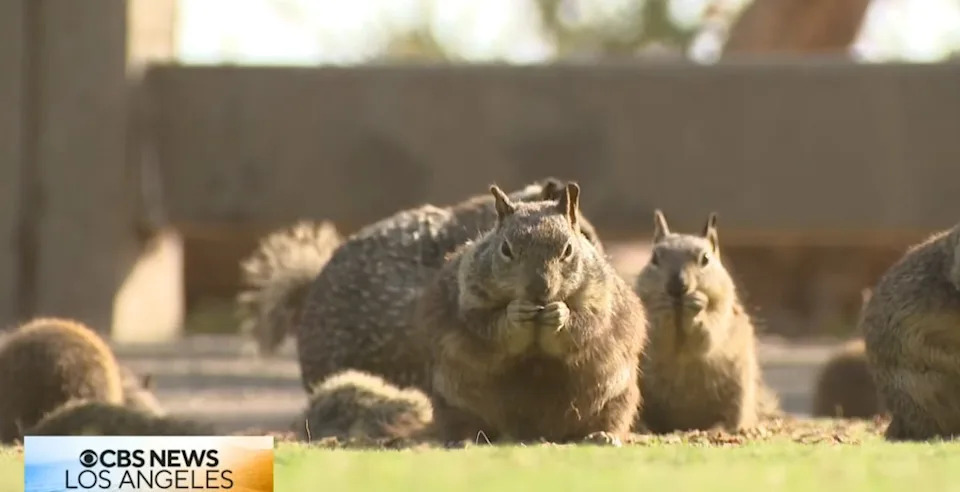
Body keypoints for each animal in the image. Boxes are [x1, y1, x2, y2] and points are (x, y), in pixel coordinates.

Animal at [414, 183, 646, 445]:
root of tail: (534, 433)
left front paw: (560, 315)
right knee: (461, 423)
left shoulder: (599, 298)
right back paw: (462, 439)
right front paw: (514, 314)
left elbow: (587, 325)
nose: (539, 289)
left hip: (618, 397)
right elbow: (487, 327)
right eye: (505, 249)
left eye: (568, 249)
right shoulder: (470, 298)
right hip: (451, 401)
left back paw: (602, 435)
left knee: (611, 420)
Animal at [634, 210, 778, 434]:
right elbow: (655, 335)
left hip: (737, 389)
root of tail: (684, 423)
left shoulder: (722, 309)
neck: (678, 313)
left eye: (705, 258)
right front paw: (661, 306)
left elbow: (709, 333)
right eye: (654, 258)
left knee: (731, 418)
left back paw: (718, 428)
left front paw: (697, 304)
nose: (677, 286)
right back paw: (643, 427)